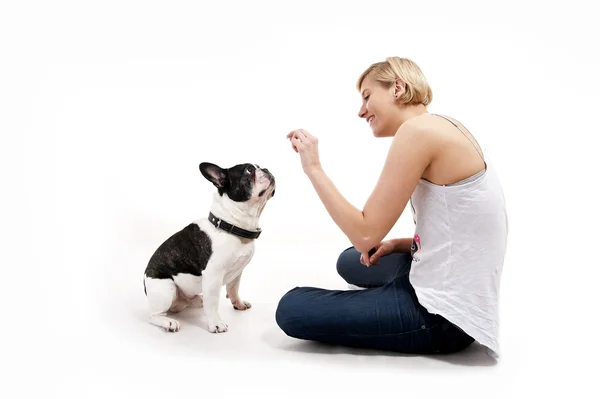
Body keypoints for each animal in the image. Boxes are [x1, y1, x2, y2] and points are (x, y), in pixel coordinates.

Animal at [143, 161, 276, 332]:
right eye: (249, 170)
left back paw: (196, 300)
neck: (231, 225)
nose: (266, 169)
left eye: (259, 166)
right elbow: (213, 303)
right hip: (166, 288)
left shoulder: (237, 272)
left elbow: (233, 289)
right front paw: (216, 324)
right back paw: (168, 322)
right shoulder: (213, 276)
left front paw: (238, 304)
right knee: (154, 316)